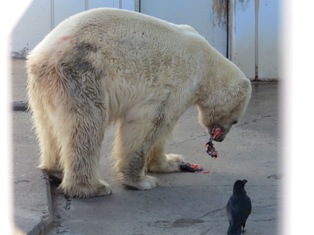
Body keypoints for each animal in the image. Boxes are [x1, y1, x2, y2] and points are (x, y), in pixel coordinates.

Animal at [27, 8, 253, 197]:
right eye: (235, 121)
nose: (220, 138)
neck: (206, 64)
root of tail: (41, 55)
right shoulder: (175, 82)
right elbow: (148, 124)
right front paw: (142, 181)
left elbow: (164, 130)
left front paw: (170, 162)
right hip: (83, 75)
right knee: (86, 127)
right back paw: (92, 187)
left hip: (44, 89)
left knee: (48, 126)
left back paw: (55, 169)